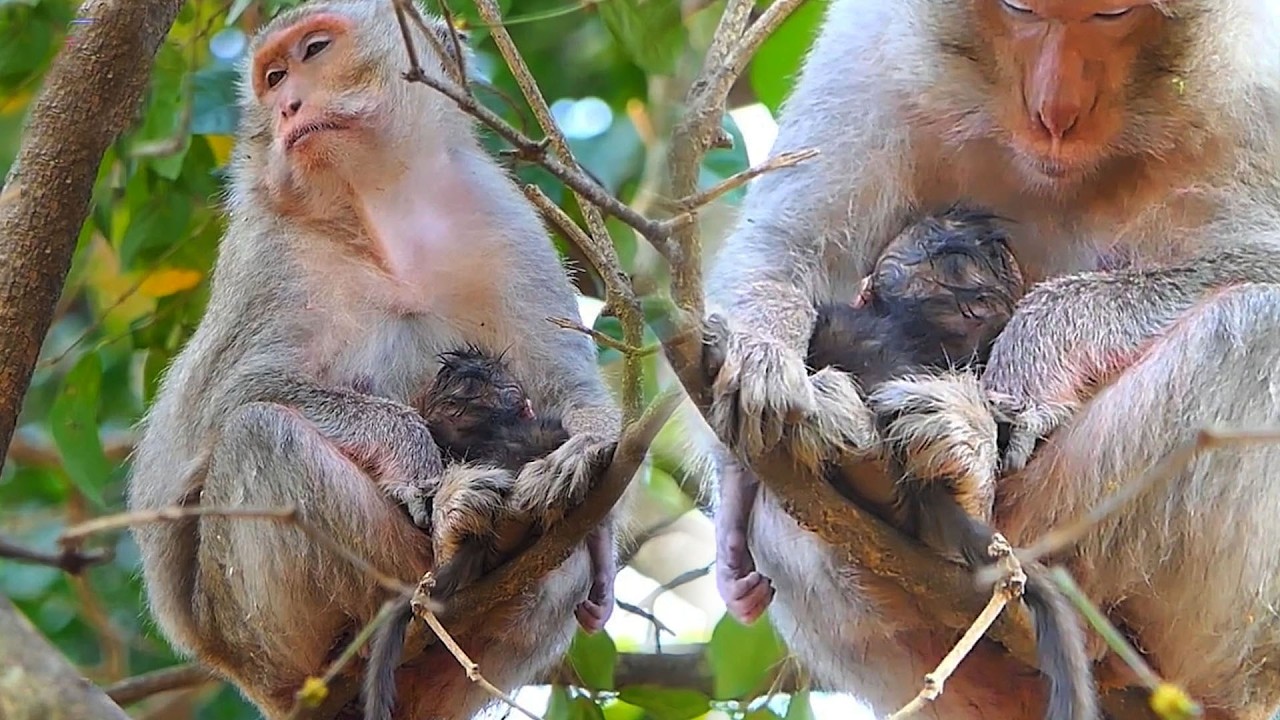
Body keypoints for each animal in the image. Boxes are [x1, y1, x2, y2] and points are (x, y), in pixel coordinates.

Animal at [124, 3, 624, 719]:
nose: (287, 105)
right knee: (261, 435)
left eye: (314, 51)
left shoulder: (507, 221)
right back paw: (446, 544)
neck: (380, 203)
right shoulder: (268, 256)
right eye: (272, 78)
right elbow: (234, 400)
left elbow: (562, 386)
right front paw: (416, 460)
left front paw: (587, 463)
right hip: (251, 631)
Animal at [701, 1, 1280, 718]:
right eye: (1020, 12)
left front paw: (1037, 349)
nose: (1056, 113)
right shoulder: (867, 49)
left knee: (1255, 325)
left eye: (1112, 15)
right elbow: (788, 250)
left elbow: (1262, 264)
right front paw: (760, 368)